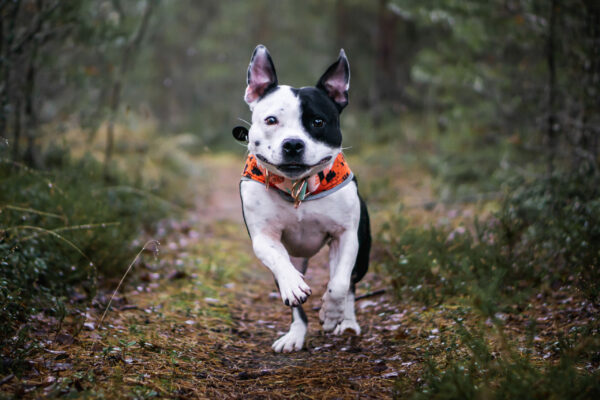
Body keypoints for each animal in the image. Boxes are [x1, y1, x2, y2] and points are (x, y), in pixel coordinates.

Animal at [231, 44, 368, 354]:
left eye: (318, 122)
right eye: (271, 120)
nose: (293, 143)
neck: (299, 187)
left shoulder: (346, 234)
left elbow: (339, 283)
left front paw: (331, 313)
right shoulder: (264, 237)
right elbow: (280, 262)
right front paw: (293, 286)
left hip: (363, 253)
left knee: (351, 283)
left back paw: (347, 322)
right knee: (295, 303)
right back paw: (295, 334)